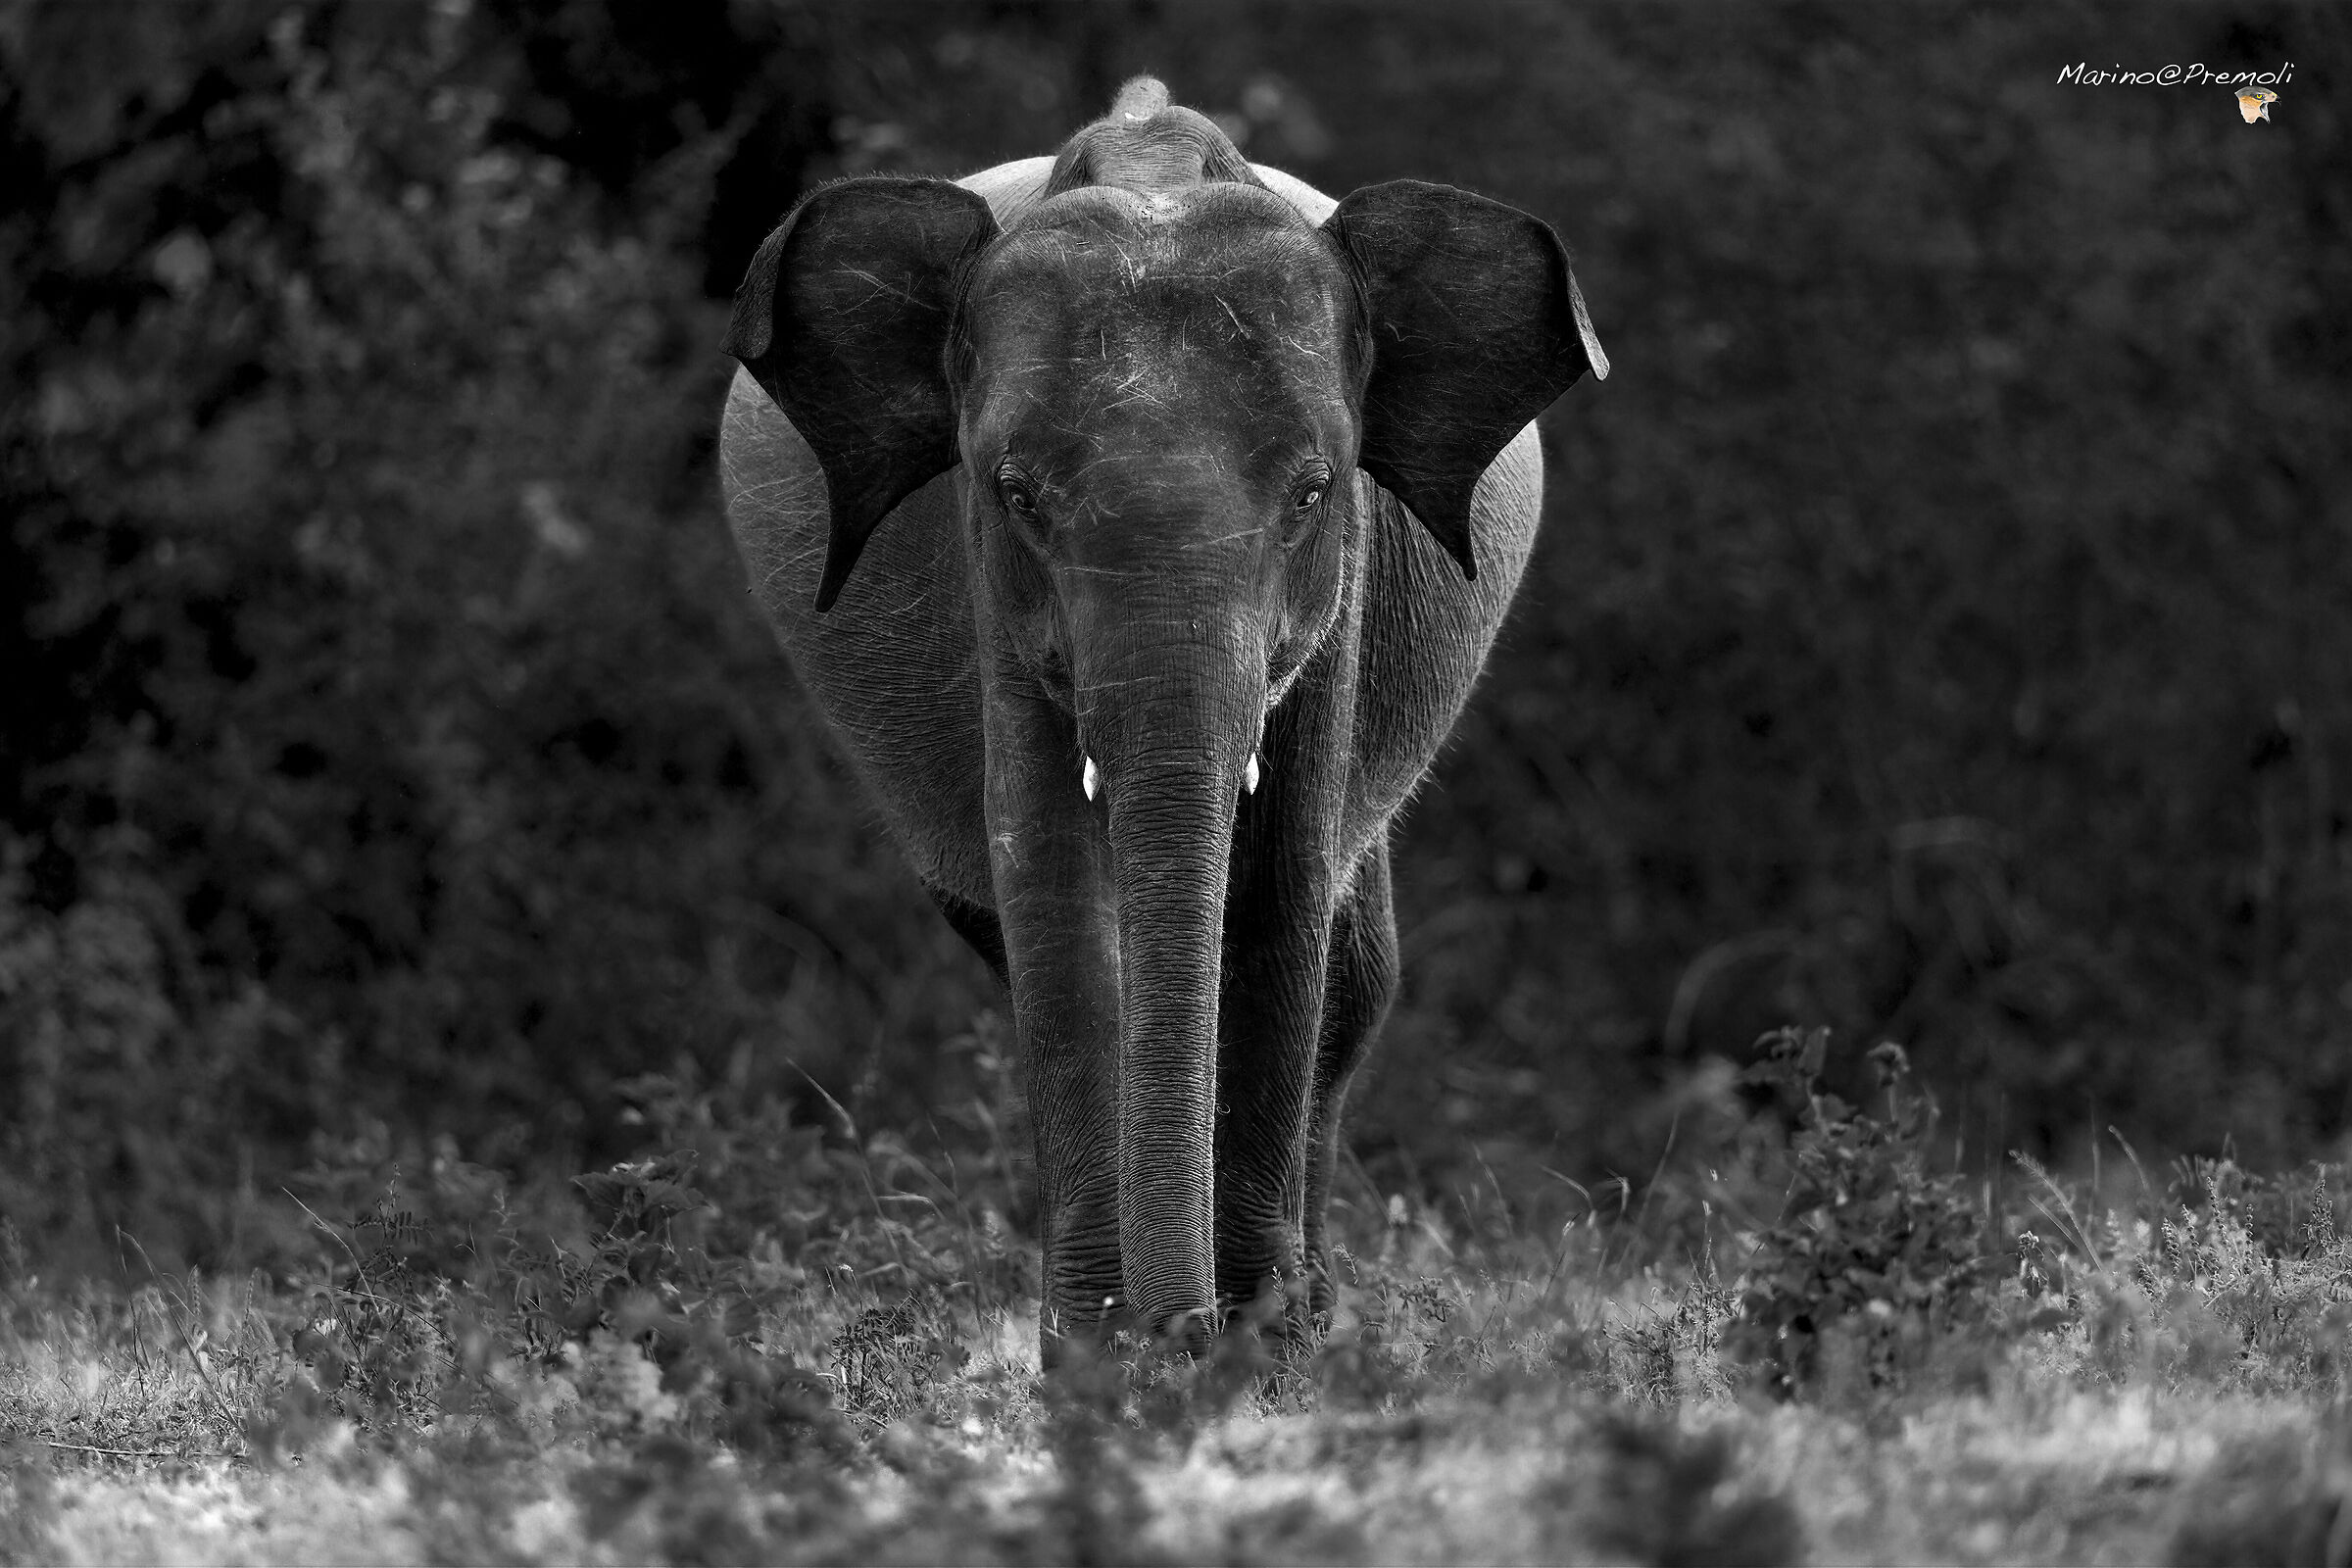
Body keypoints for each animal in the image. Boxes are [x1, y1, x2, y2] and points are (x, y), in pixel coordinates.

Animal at [717, 77, 1606, 1357]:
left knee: (1358, 974)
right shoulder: (992, 599)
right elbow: (1048, 890)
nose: (1178, 1331)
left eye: (1313, 491)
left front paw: (1263, 1350)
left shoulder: (1346, 595)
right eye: (1015, 494)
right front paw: (1099, 1357)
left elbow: (1280, 885)